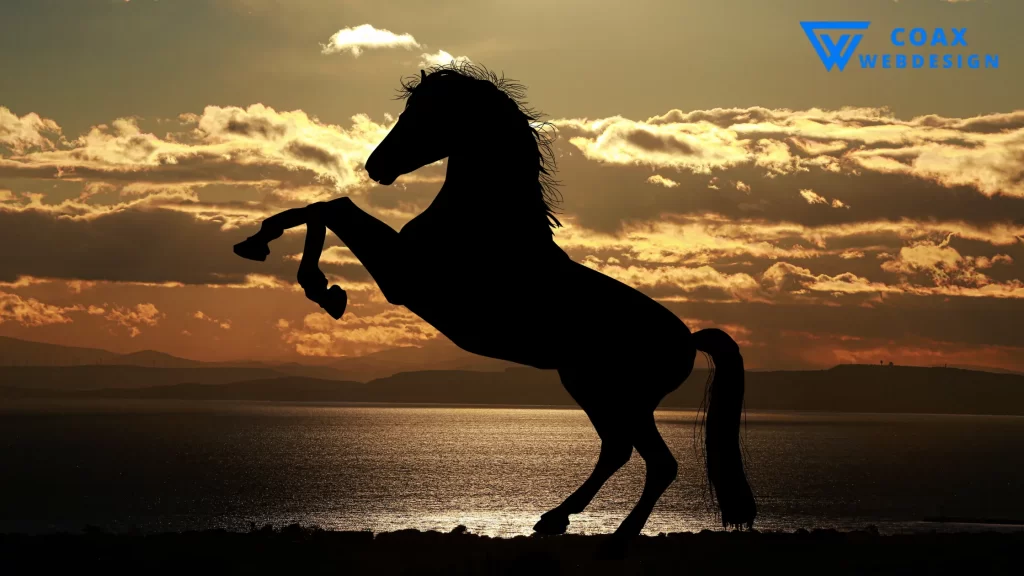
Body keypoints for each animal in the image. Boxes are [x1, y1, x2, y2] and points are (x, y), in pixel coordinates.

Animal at [235, 63, 757, 537]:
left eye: (424, 113)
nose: (375, 167)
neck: (485, 222)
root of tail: (689, 339)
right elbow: (322, 207)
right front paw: (263, 247)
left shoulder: (403, 276)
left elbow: (332, 208)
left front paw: (318, 286)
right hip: (591, 388)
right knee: (618, 450)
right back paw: (554, 519)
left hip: (618, 395)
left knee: (656, 461)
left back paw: (617, 536)